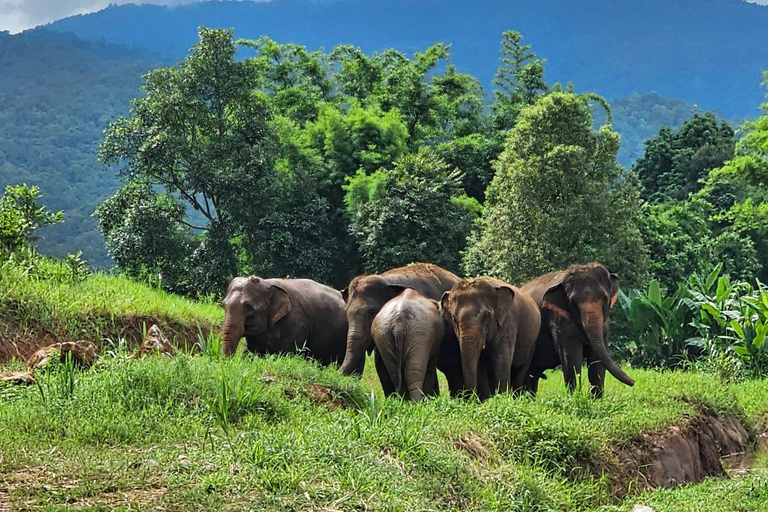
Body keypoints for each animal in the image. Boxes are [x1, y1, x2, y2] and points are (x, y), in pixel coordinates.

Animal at [522, 263, 634, 398]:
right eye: (573, 302)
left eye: (604, 298)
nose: (633, 382)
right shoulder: (558, 320)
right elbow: (572, 357)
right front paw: (575, 397)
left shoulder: (604, 325)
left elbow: (596, 359)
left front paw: (595, 399)